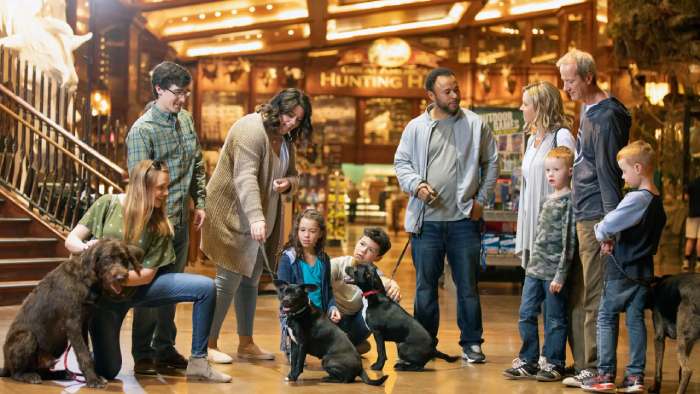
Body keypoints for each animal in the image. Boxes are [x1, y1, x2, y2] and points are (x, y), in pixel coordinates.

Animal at [0, 239, 144, 386]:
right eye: (108, 258)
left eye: (125, 259)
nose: (121, 277)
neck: (85, 278)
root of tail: (5, 365)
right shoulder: (73, 325)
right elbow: (83, 354)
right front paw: (93, 379)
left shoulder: (83, 324)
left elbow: (87, 351)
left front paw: (95, 377)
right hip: (27, 337)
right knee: (16, 373)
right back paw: (28, 376)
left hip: (59, 345)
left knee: (44, 372)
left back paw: (62, 373)